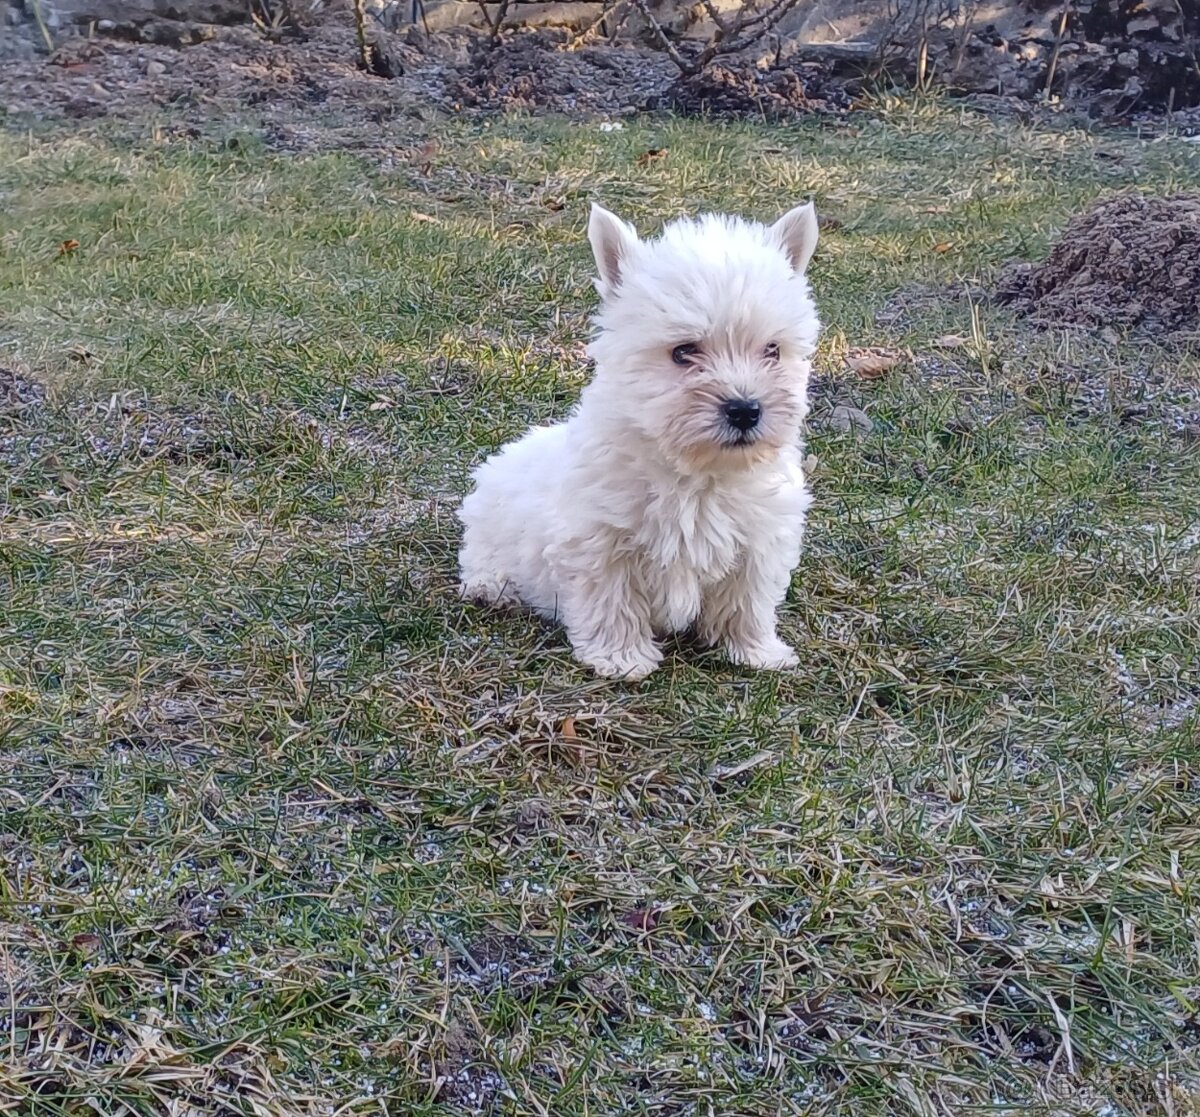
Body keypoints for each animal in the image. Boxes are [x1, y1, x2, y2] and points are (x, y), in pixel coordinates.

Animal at [457, 201, 820, 680]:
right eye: (683, 352)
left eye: (772, 350)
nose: (745, 409)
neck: (696, 475)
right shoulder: (600, 541)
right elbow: (612, 601)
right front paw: (621, 658)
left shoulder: (758, 541)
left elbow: (748, 600)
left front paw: (756, 650)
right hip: (486, 528)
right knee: (478, 557)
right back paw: (490, 587)